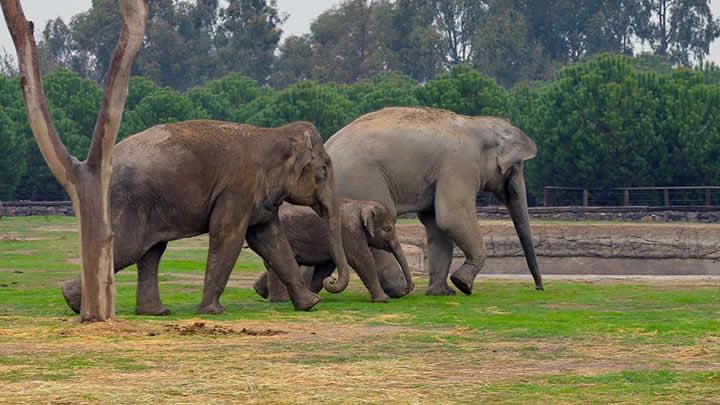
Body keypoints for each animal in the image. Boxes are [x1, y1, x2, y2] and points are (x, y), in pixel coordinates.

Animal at [62, 118, 354, 314]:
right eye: (324, 172)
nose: (330, 281)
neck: (273, 134)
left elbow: (270, 240)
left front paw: (310, 304)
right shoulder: (238, 189)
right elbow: (228, 236)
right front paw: (212, 311)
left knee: (151, 252)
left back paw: (153, 312)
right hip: (130, 200)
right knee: (129, 247)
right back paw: (73, 302)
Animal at [252, 197, 414, 302]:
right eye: (388, 229)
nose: (408, 289)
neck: (361, 204)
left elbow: (326, 267)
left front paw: (316, 295)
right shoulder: (349, 231)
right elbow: (361, 259)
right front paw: (383, 300)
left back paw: (266, 294)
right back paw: (282, 300)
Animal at [324, 107, 544, 296]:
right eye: (516, 167)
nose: (538, 288)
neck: (476, 122)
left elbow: (436, 224)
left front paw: (442, 292)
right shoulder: (460, 165)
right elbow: (452, 217)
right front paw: (462, 284)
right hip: (362, 180)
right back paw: (400, 289)